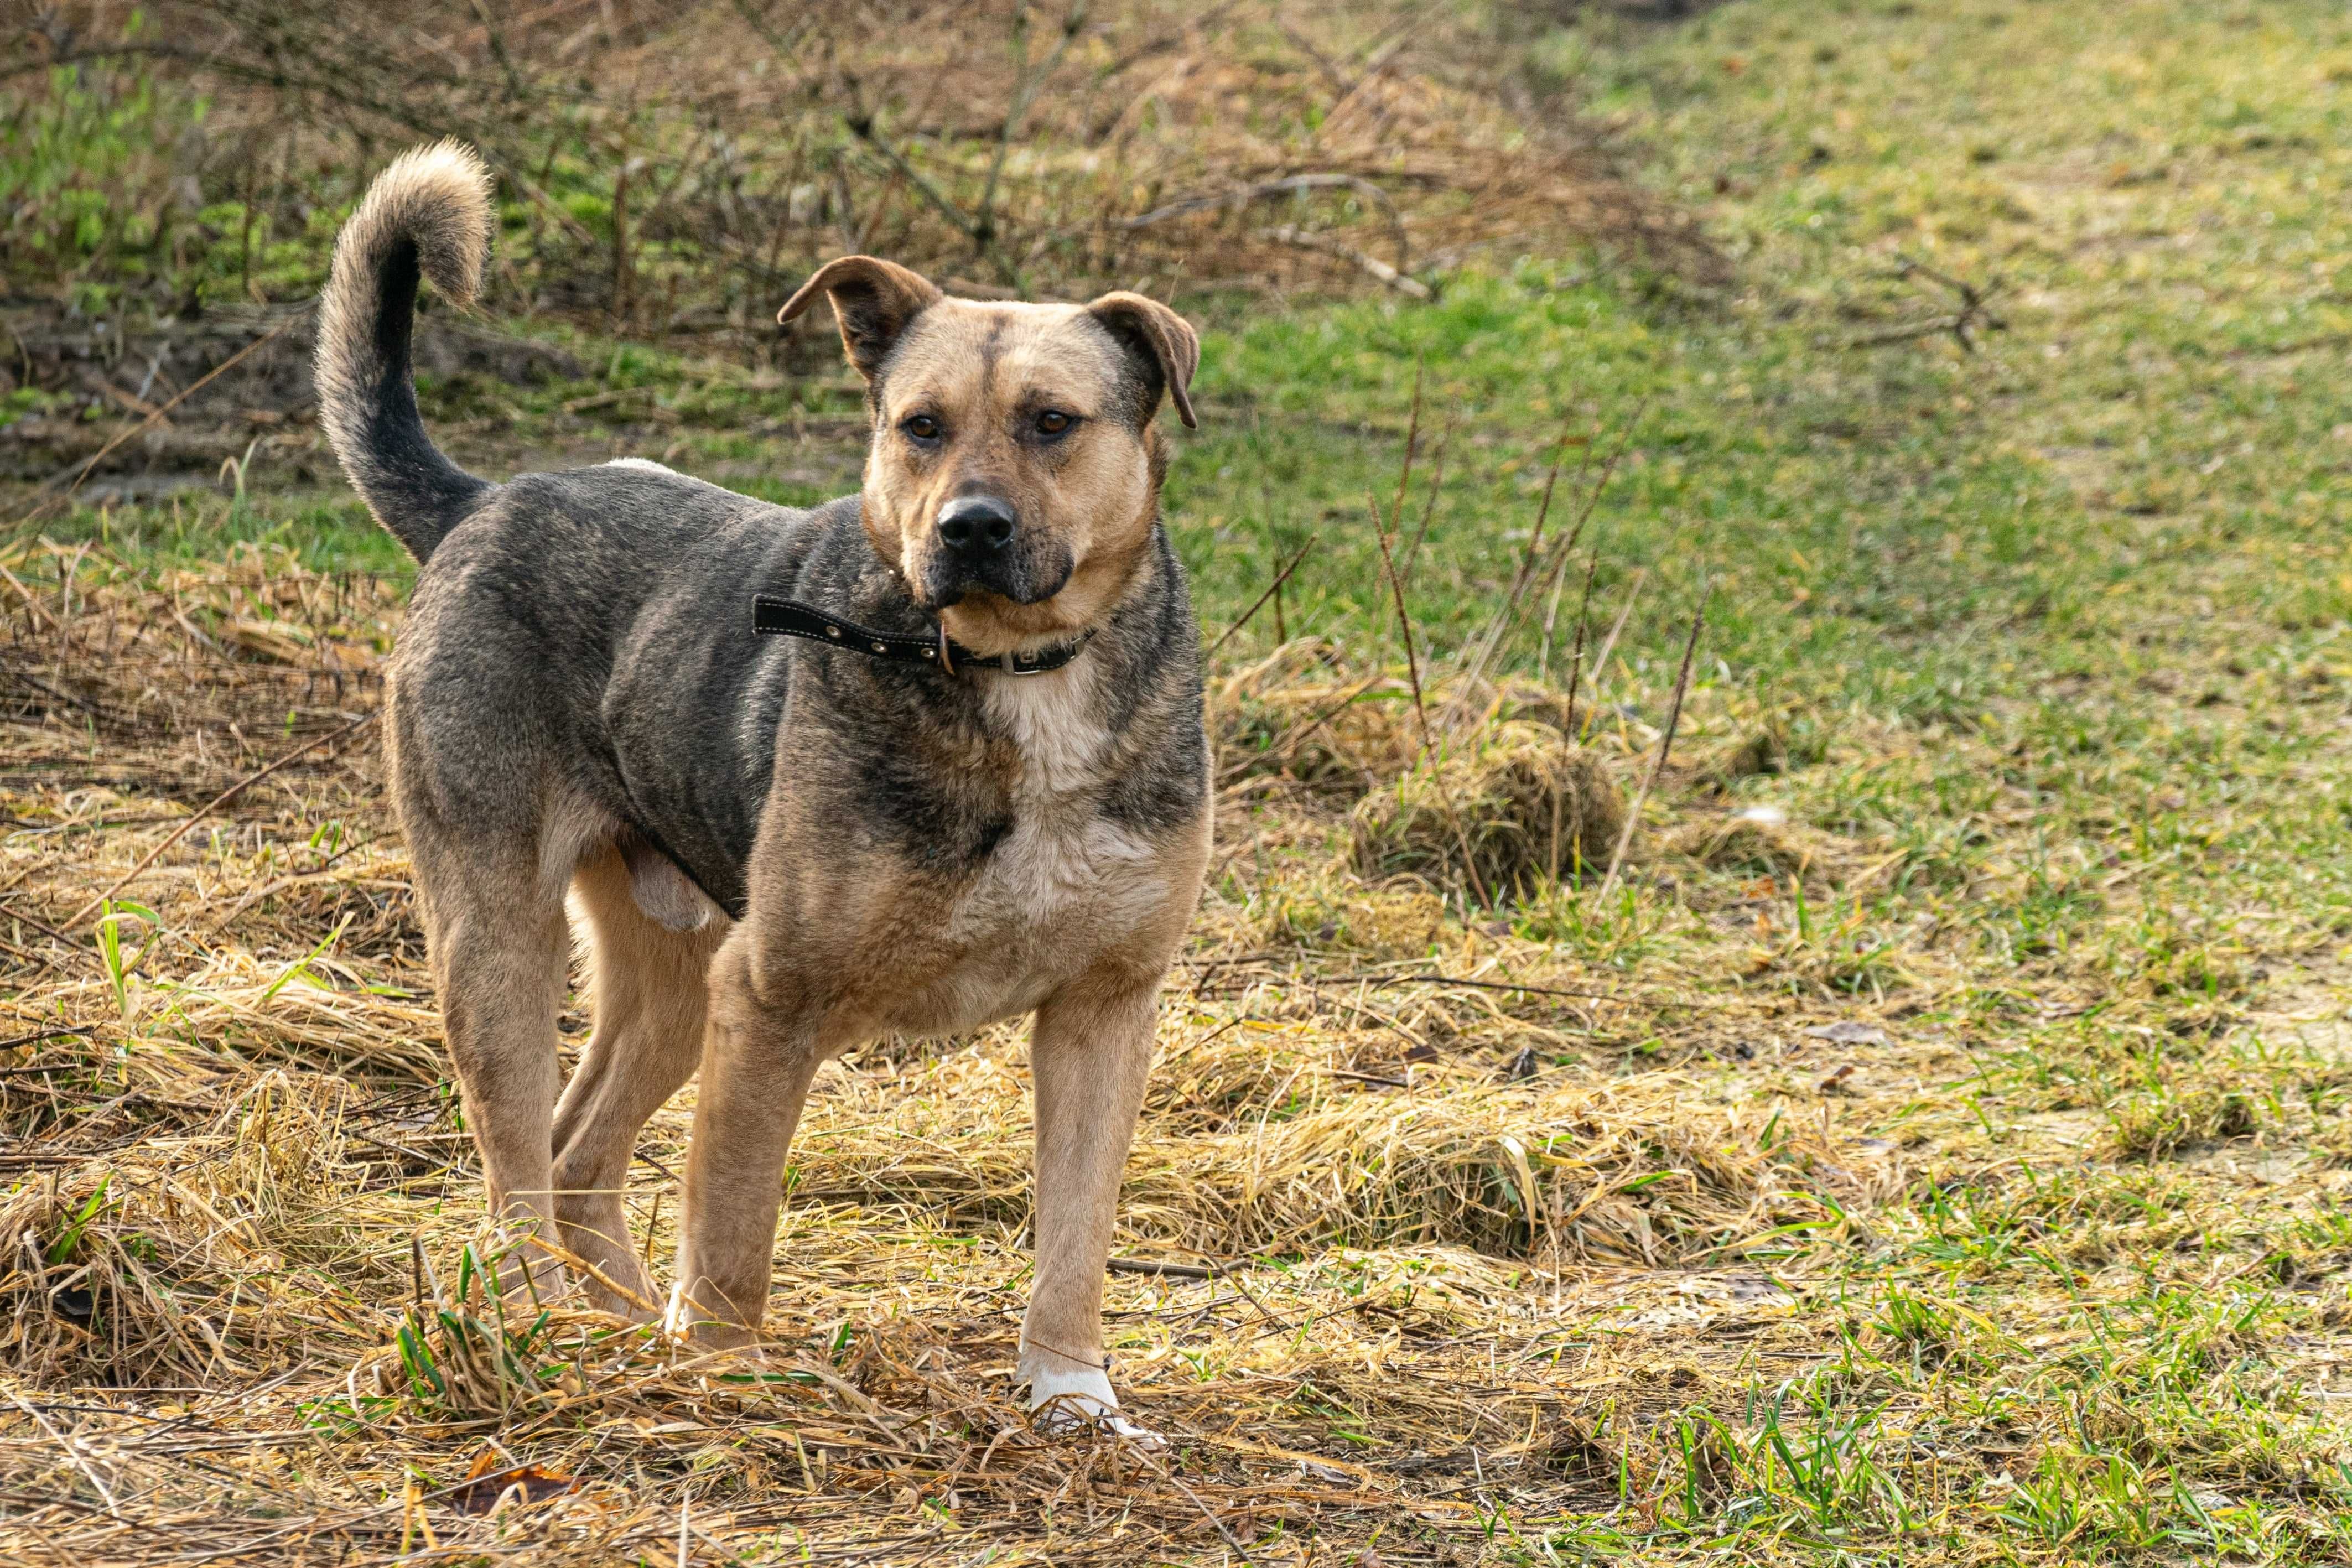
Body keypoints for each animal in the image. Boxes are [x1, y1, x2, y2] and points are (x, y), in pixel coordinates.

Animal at [317, 144, 1213, 1439]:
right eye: (919, 427)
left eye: (1053, 422)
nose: (970, 529)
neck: (1017, 674)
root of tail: (483, 501)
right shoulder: (773, 997)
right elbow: (736, 1228)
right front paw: (730, 1380)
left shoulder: (1106, 1009)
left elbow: (1076, 1238)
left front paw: (1070, 1396)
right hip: (502, 941)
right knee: (516, 1170)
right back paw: (547, 1328)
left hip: (674, 971)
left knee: (577, 1150)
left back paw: (624, 1332)